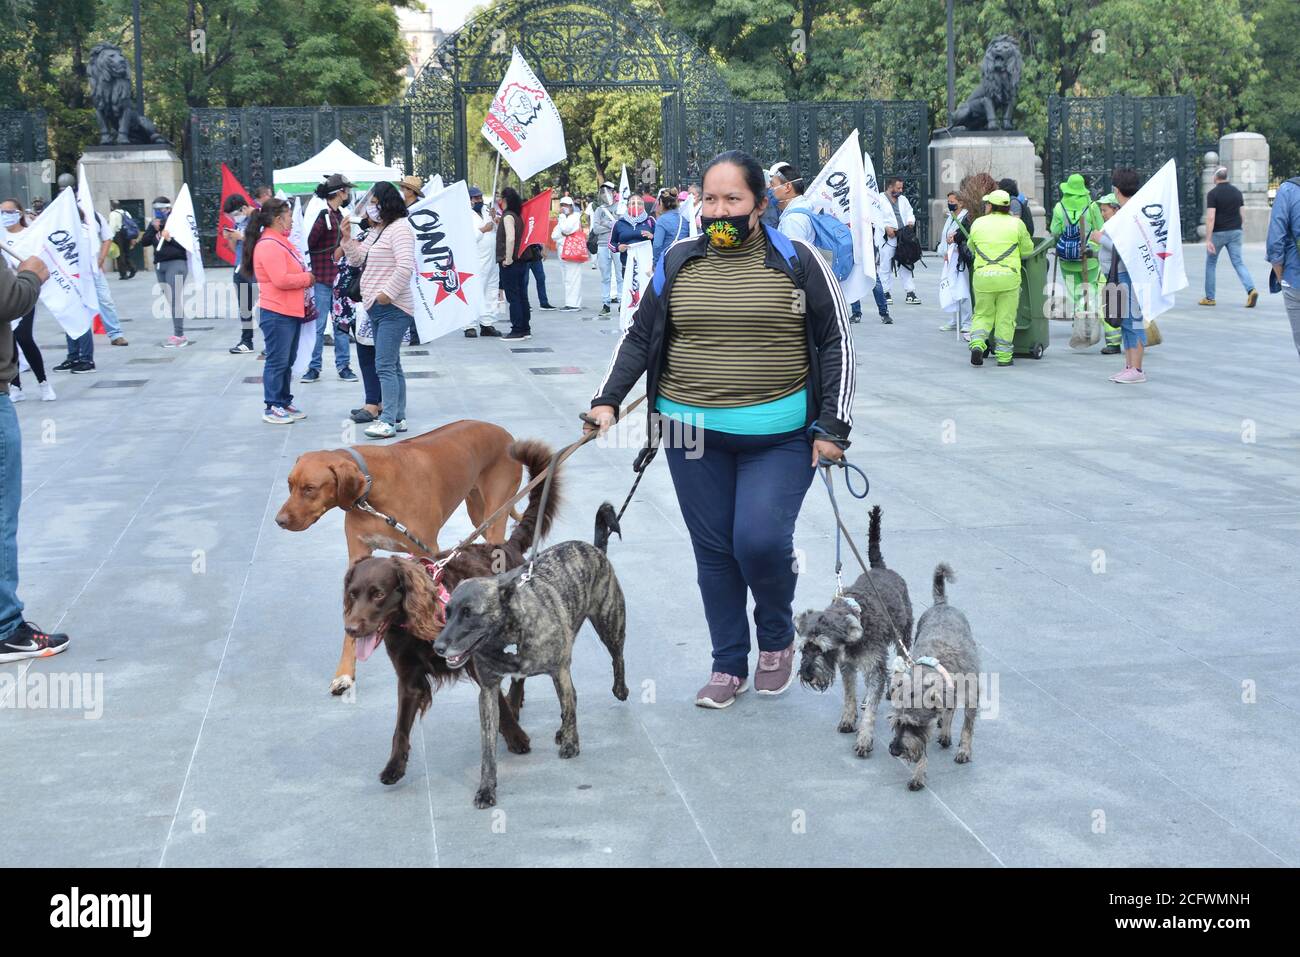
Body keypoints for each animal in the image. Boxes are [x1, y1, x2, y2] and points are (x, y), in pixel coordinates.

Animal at [278, 418, 522, 696]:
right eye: (290, 485)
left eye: (310, 489)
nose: (279, 521)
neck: (371, 492)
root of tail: (502, 431)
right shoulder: (358, 557)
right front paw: (344, 674)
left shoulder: (426, 550)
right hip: (478, 511)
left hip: (495, 512)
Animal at [340, 442, 559, 785]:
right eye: (352, 594)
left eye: (378, 594)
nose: (351, 629)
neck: (417, 626)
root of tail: (507, 547)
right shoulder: (409, 677)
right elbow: (400, 728)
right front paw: (394, 766)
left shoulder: (476, 663)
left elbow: (498, 704)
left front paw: (516, 738)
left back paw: (515, 701)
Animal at [431, 504, 629, 806]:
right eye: (448, 612)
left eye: (469, 614)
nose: (438, 647)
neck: (509, 636)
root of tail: (595, 549)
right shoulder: (488, 691)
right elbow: (488, 746)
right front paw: (486, 787)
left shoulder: (559, 670)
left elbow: (569, 706)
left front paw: (571, 743)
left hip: (609, 622)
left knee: (616, 656)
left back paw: (619, 689)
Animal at [790, 504, 915, 759]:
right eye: (804, 648)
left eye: (822, 649)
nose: (806, 675)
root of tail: (880, 568)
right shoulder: (847, 665)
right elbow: (849, 694)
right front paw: (848, 719)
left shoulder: (873, 665)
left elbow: (871, 707)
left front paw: (864, 739)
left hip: (903, 635)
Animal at [889, 564, 977, 790]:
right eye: (897, 723)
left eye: (913, 725)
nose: (894, 750)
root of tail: (942, 604)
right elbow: (923, 746)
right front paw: (919, 773)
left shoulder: (972, 696)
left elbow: (967, 726)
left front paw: (964, 750)